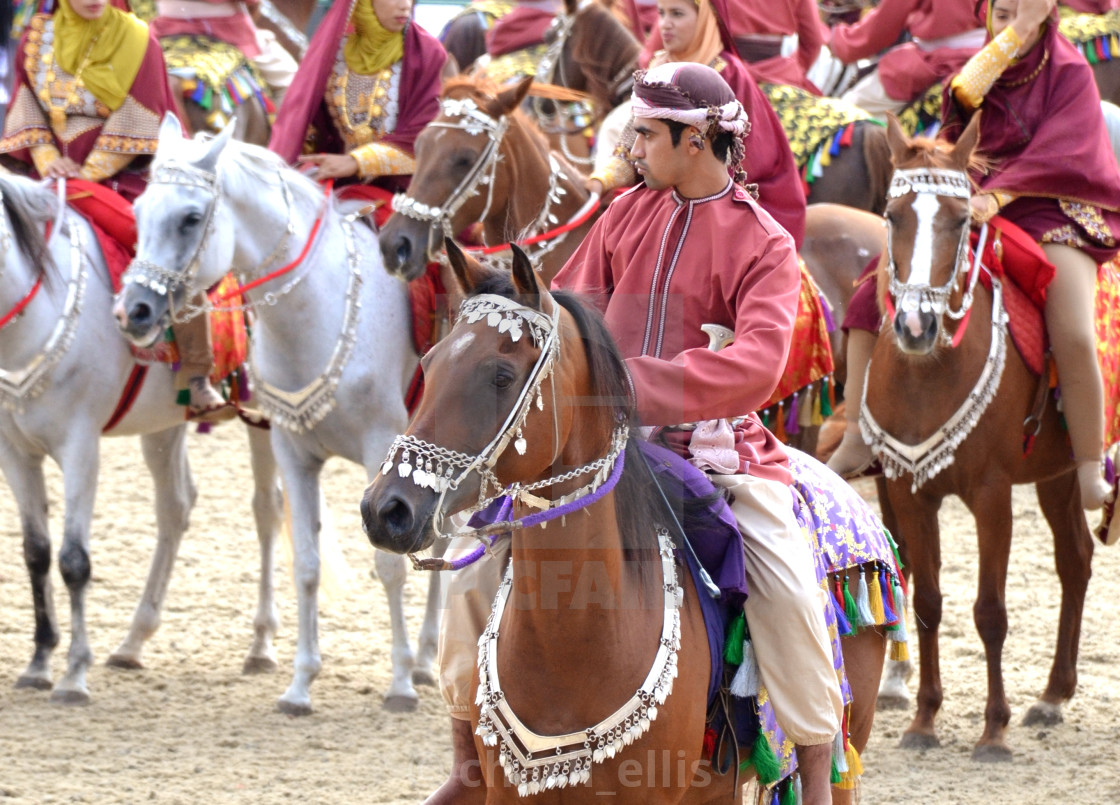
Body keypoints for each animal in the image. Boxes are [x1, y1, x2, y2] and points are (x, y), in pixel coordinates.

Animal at [0, 171, 284, 707]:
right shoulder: (16, 453)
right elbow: (36, 553)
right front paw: (40, 661)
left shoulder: (80, 447)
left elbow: (73, 560)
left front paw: (74, 673)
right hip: (163, 427)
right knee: (176, 506)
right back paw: (133, 641)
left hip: (266, 418)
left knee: (267, 510)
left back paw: (261, 645)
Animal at [112, 116, 441, 716]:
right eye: (139, 211)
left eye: (191, 217)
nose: (134, 311)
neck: (316, 310)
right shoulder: (292, 450)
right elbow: (305, 563)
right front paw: (300, 684)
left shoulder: (384, 452)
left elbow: (389, 563)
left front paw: (401, 682)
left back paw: (428, 659)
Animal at [864, 114, 1093, 761]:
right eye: (893, 216)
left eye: (962, 220)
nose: (916, 325)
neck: (928, 374)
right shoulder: (910, 491)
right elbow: (927, 602)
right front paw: (923, 720)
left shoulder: (992, 495)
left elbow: (990, 611)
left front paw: (993, 729)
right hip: (1058, 474)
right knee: (1077, 560)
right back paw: (1054, 694)